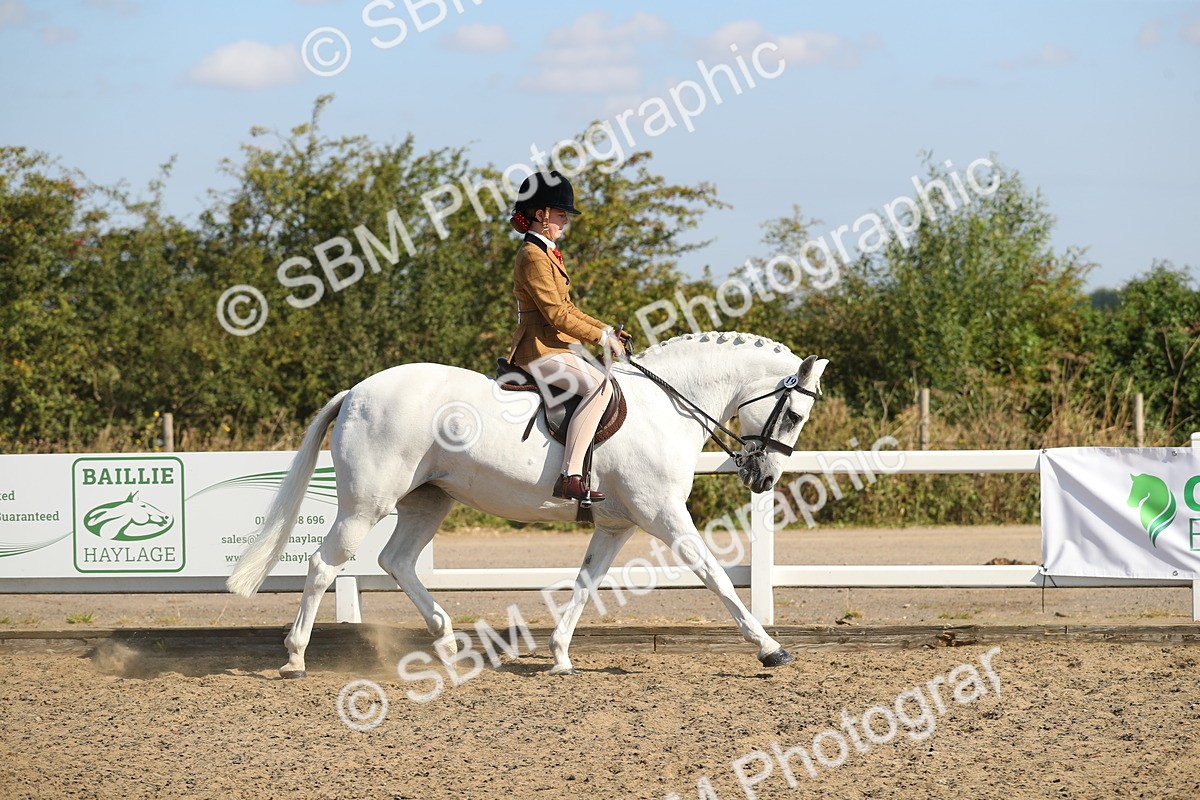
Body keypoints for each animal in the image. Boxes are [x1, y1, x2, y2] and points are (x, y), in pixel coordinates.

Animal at [227, 332, 828, 677]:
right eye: (795, 415)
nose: (764, 477)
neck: (666, 407)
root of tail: (355, 392)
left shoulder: (617, 526)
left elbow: (587, 583)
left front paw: (559, 655)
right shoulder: (665, 518)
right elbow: (717, 577)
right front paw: (769, 648)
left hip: (428, 500)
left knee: (396, 561)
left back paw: (447, 641)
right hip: (365, 505)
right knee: (323, 565)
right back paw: (295, 657)